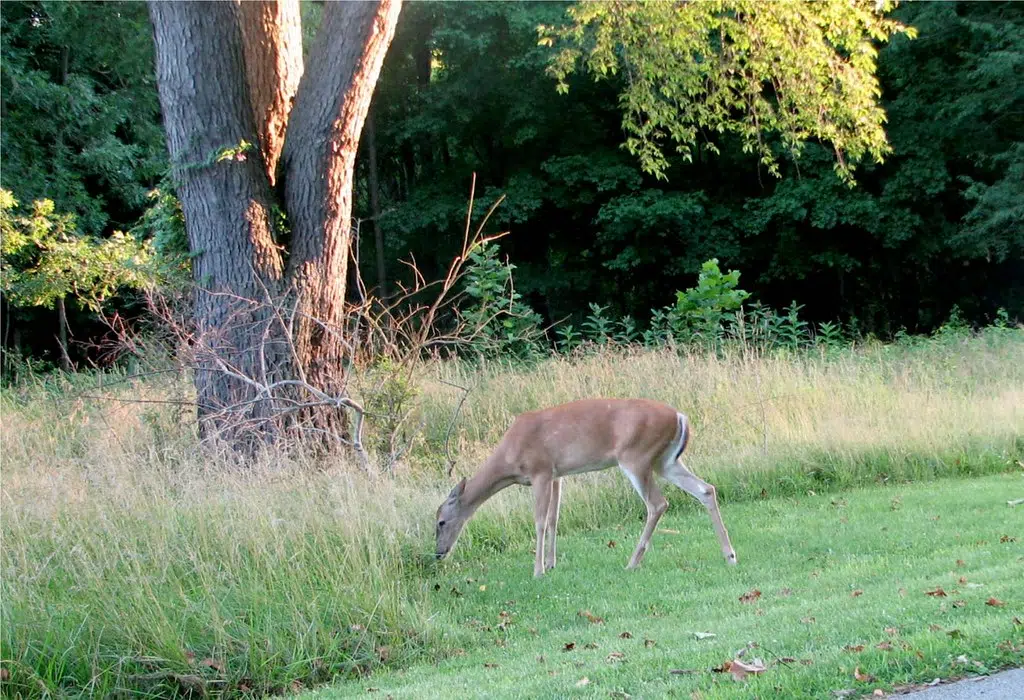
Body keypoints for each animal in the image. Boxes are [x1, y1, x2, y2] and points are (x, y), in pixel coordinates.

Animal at [432, 397, 737, 577]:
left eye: (441, 522)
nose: (438, 553)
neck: (509, 458)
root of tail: (680, 416)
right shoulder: (557, 475)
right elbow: (554, 519)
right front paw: (551, 564)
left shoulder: (540, 470)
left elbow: (539, 521)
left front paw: (538, 570)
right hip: (666, 460)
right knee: (705, 489)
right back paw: (730, 555)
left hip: (636, 456)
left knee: (657, 503)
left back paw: (632, 562)